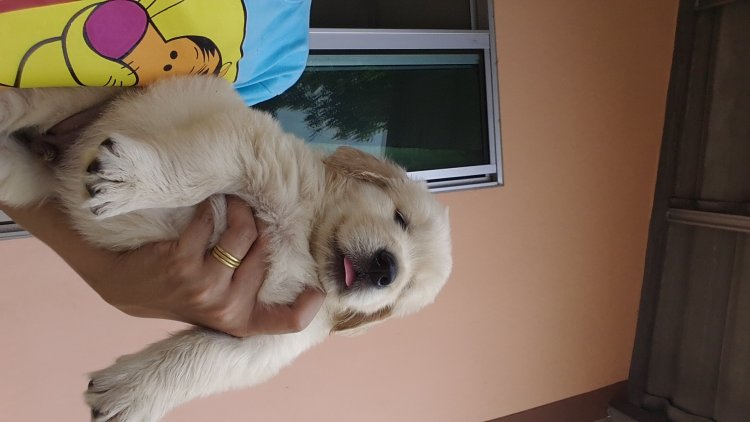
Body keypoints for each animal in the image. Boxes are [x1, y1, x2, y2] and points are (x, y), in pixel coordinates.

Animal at [0, 75, 452, 421]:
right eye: (401, 218)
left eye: (405, 290)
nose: (386, 270)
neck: (306, 238)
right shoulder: (246, 152)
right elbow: (190, 176)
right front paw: (127, 182)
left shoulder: (266, 335)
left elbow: (206, 360)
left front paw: (129, 396)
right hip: (83, 98)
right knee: (31, 102)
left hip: (30, 181)